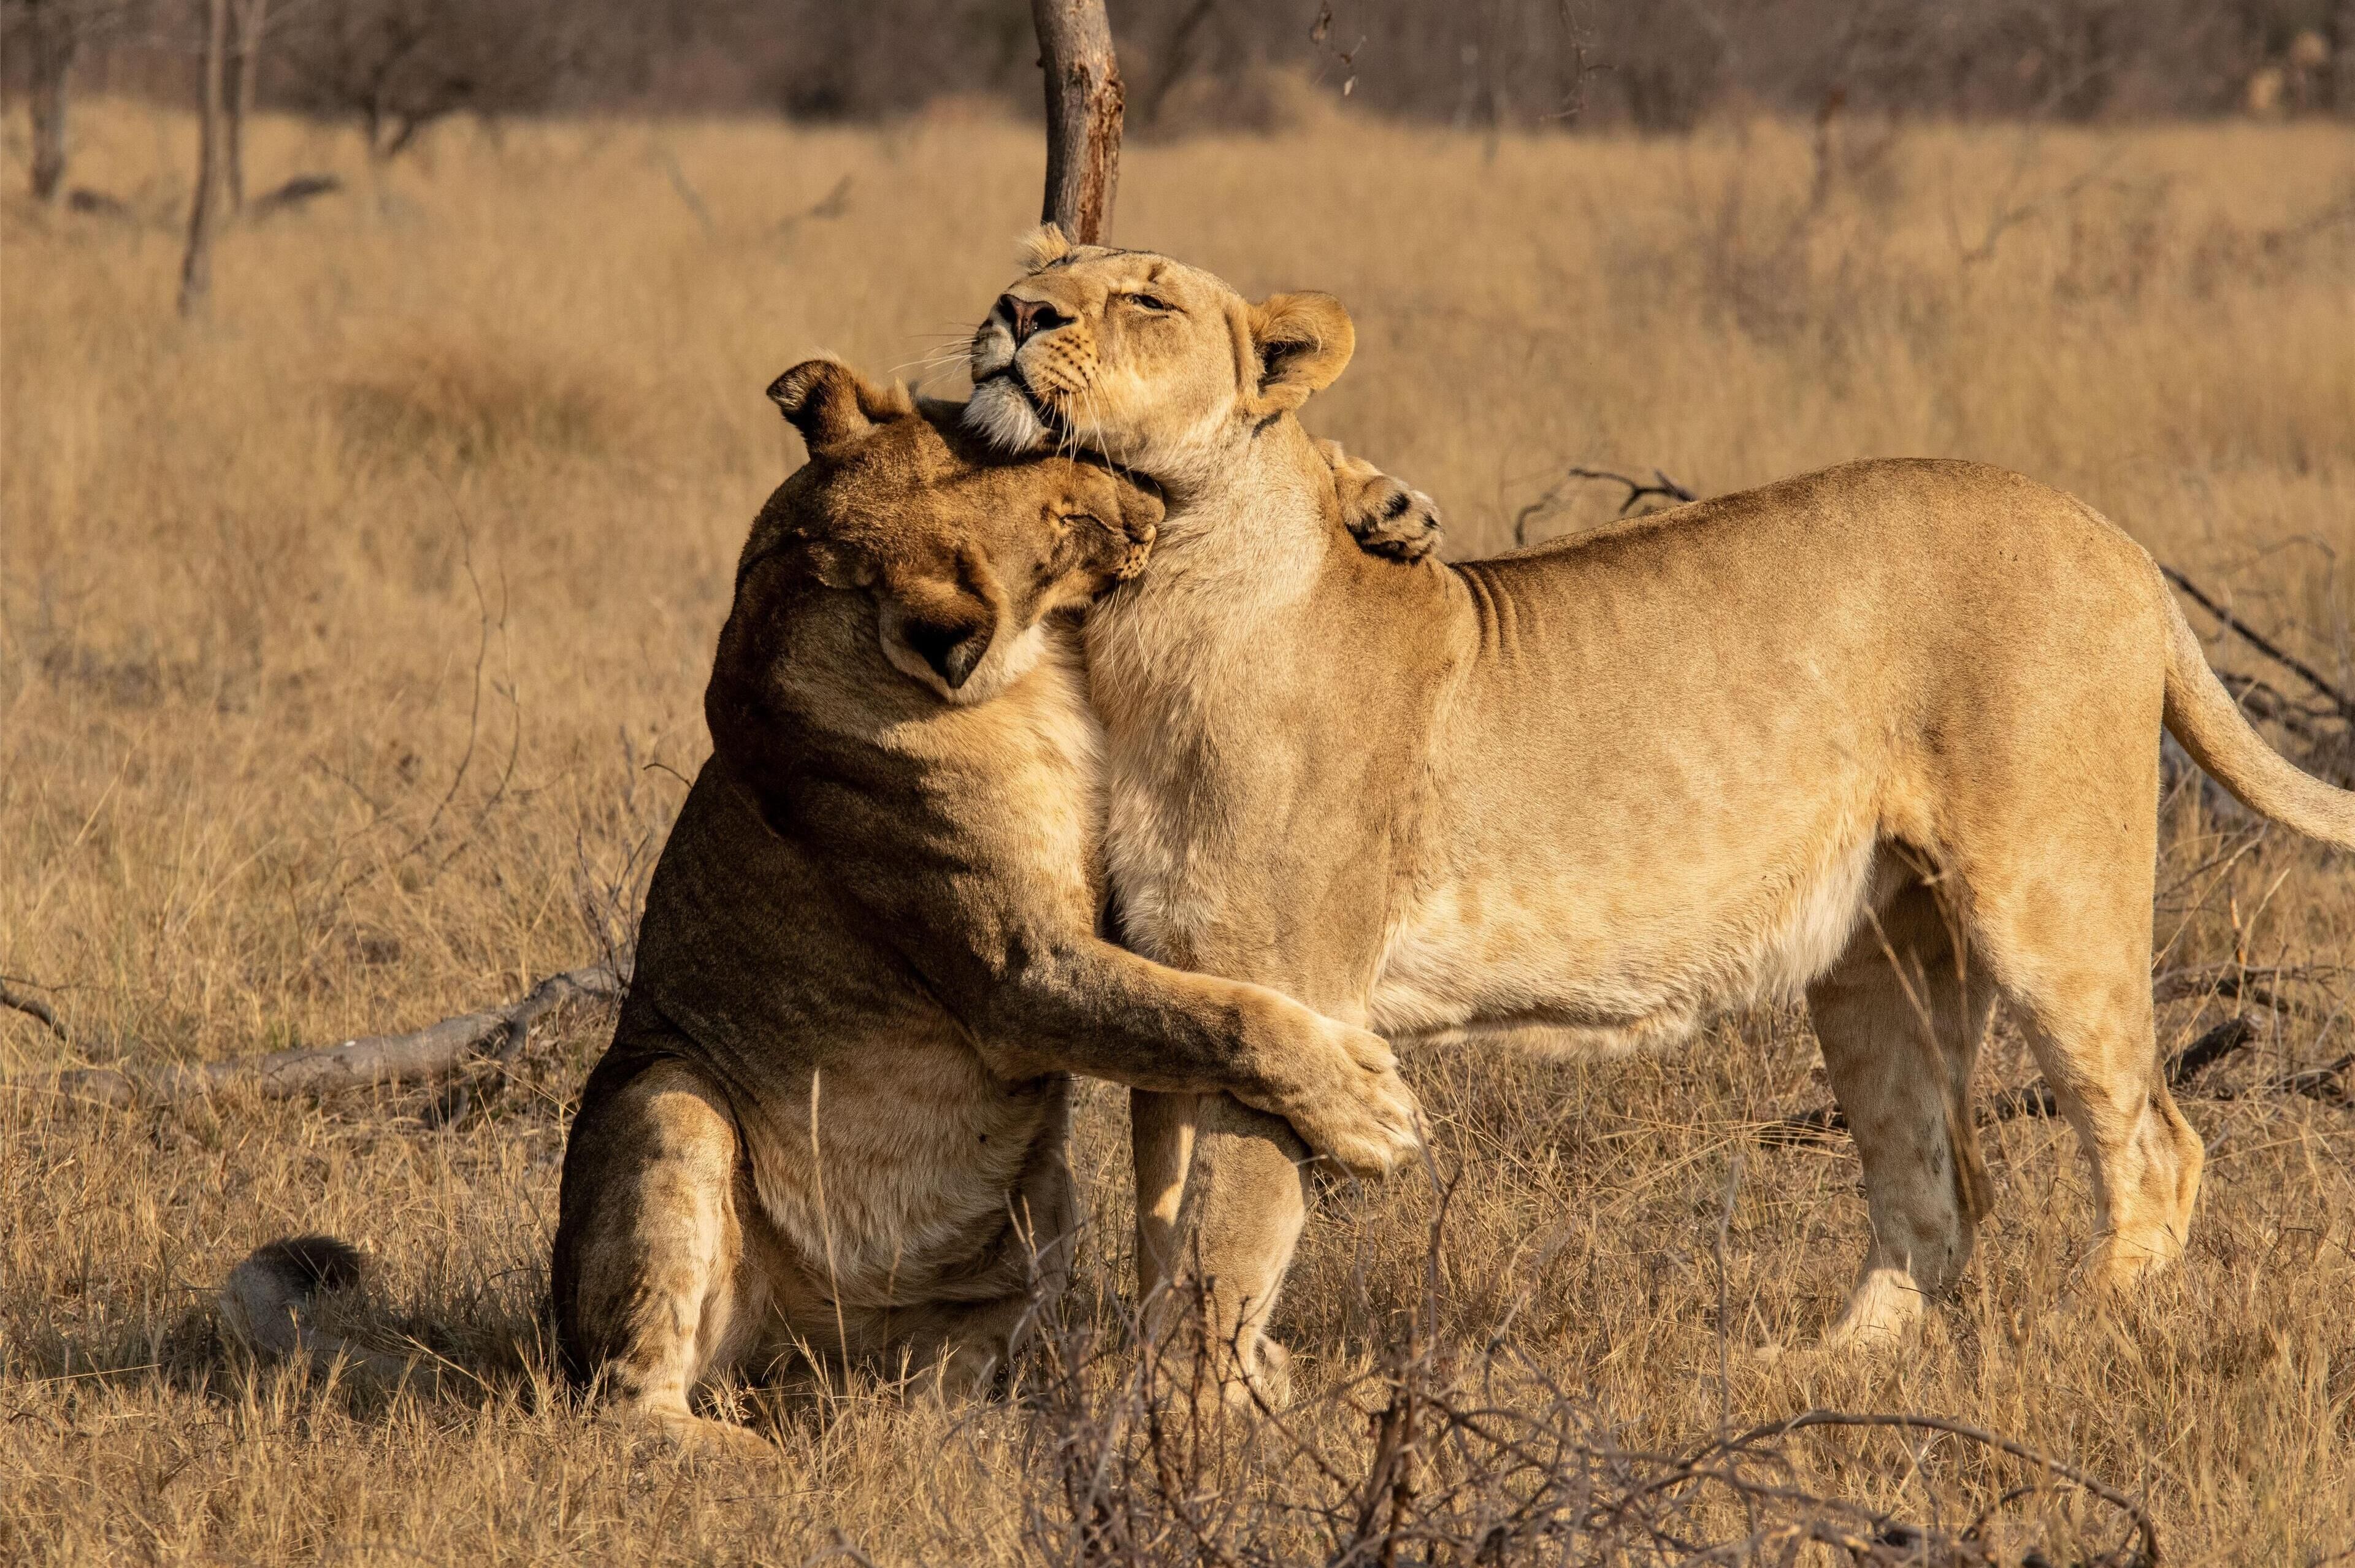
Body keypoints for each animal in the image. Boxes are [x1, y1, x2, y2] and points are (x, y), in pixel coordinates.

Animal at [964, 226, 2355, 1392]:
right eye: (1034, 273)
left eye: (1147, 299)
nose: (1013, 310)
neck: (1151, 601)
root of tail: (2124, 544)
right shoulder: (1193, 973)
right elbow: (1169, 1218)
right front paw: (1166, 1396)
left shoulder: (1290, 976)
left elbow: (1232, 1222)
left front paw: (1206, 1417)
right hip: (1880, 961)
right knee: (1939, 1181)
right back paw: (1822, 1367)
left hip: (2049, 897)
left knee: (2155, 1138)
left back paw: (2086, 1329)